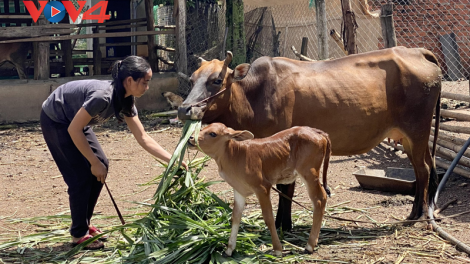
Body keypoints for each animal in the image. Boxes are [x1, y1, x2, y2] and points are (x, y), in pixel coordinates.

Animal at [178, 46, 442, 230]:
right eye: (191, 80)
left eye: (216, 80)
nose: (184, 109)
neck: (255, 96)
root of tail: (416, 51)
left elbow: (286, 187)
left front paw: (284, 225)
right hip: (410, 138)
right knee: (425, 168)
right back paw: (419, 212)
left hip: (417, 131)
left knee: (423, 171)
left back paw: (418, 216)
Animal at [188, 123, 330, 256]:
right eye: (202, 128)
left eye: (213, 133)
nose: (190, 138)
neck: (236, 155)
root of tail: (316, 131)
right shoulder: (239, 190)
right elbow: (235, 217)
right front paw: (229, 249)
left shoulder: (262, 188)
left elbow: (268, 218)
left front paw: (277, 249)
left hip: (309, 173)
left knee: (320, 199)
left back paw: (309, 246)